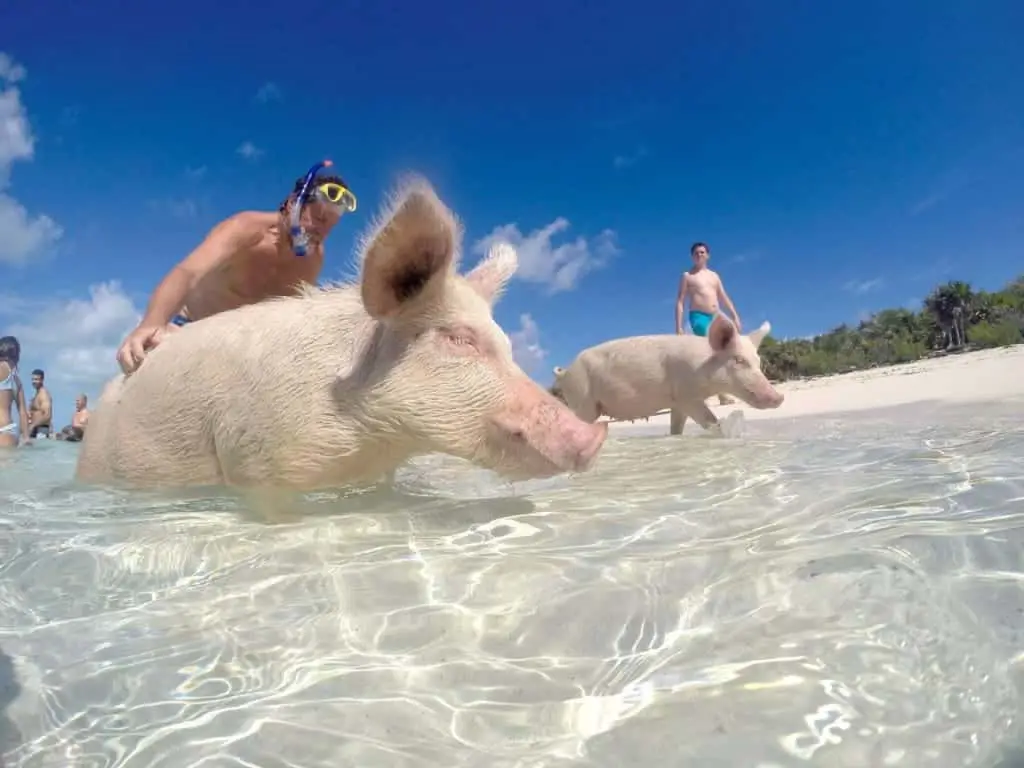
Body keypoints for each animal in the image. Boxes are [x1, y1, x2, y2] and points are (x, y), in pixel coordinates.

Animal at [552, 319, 782, 436]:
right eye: (739, 360)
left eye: (758, 361)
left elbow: (676, 429)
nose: (779, 397)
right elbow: (710, 422)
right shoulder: (686, 396)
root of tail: (565, 372)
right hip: (582, 400)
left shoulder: (676, 402)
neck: (702, 367)